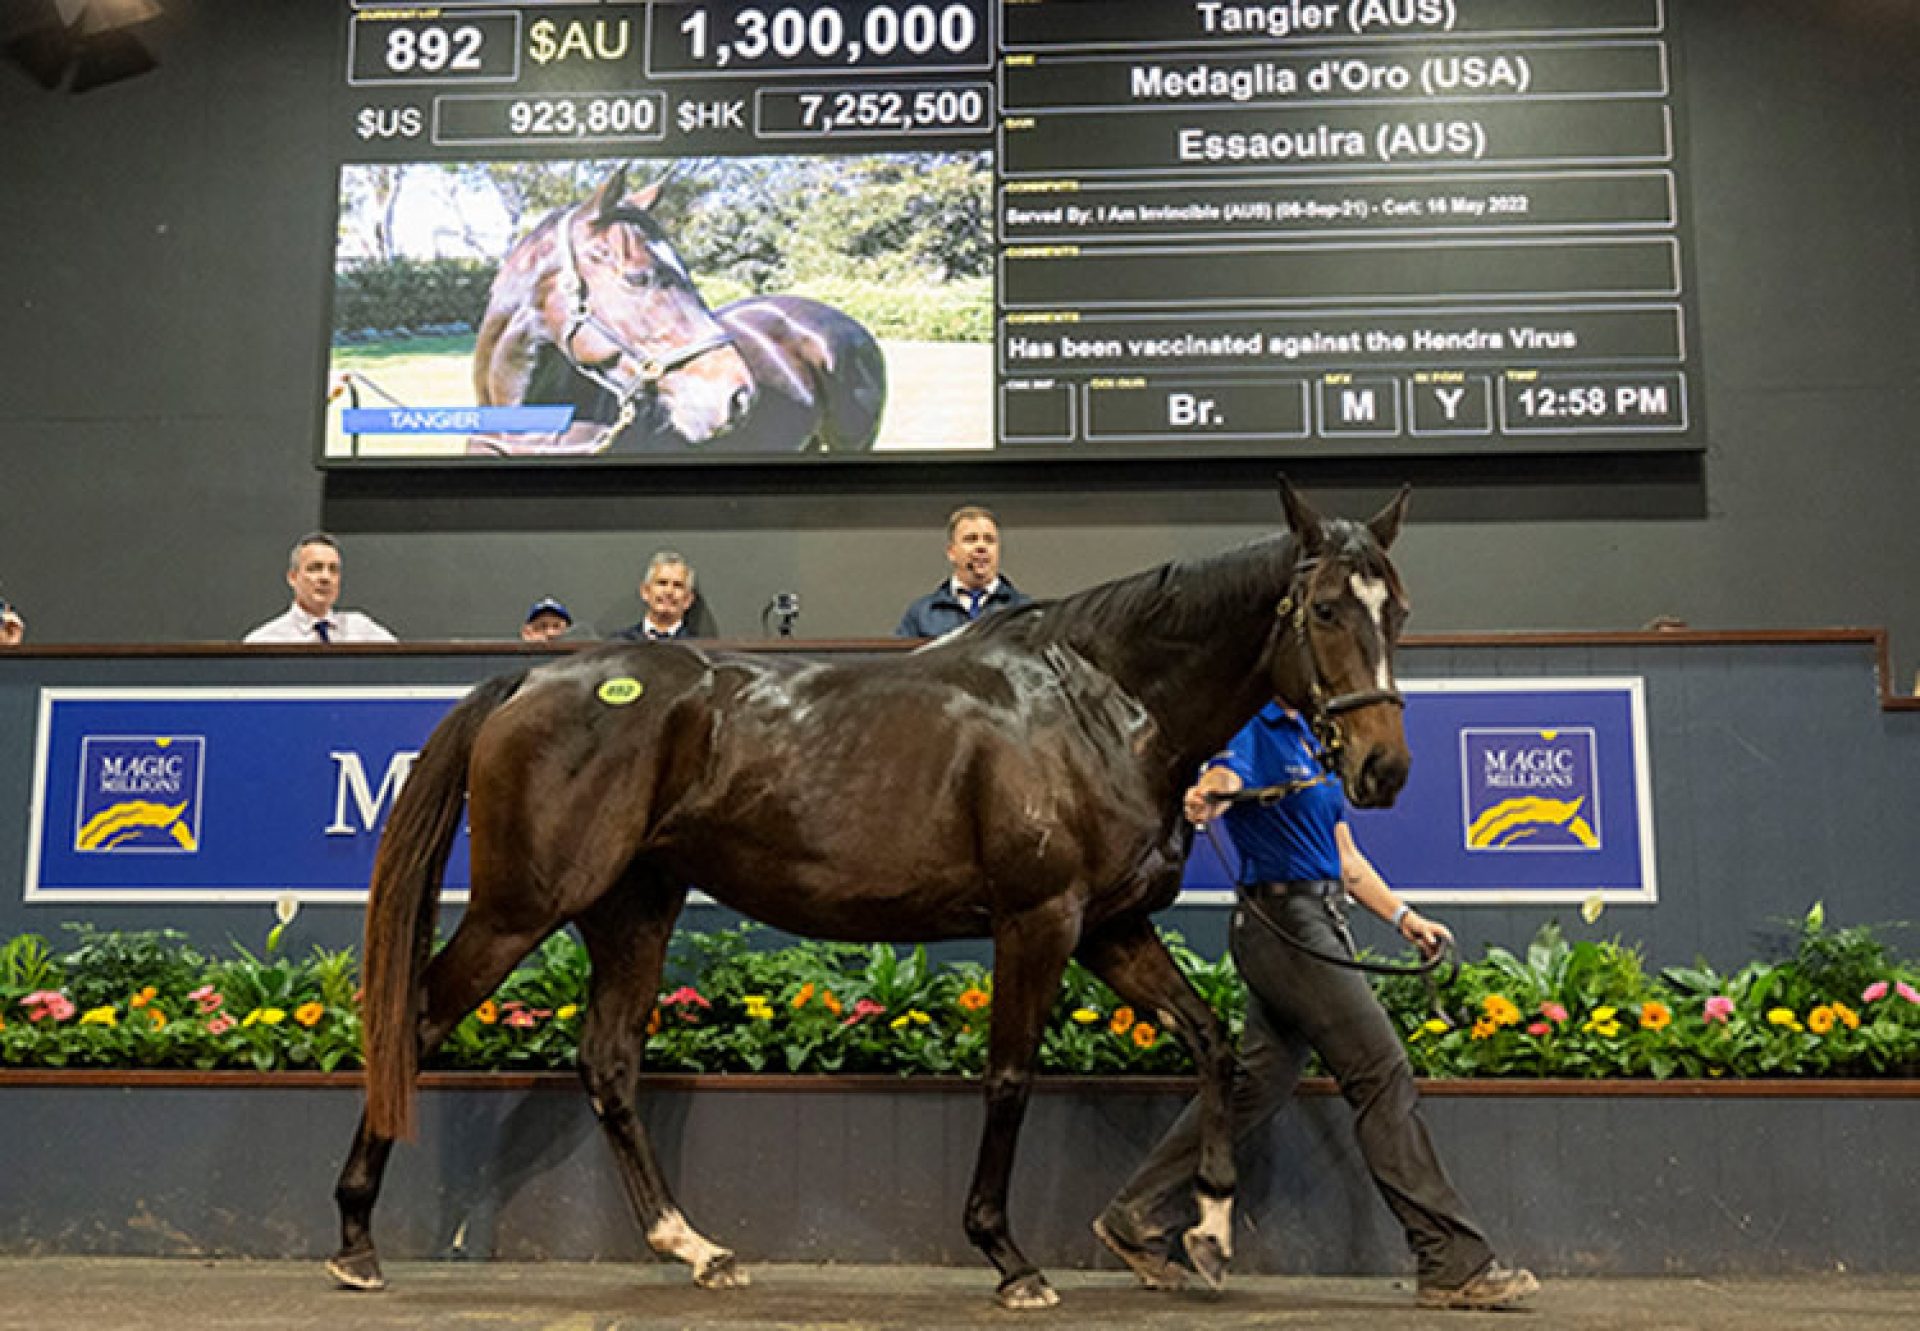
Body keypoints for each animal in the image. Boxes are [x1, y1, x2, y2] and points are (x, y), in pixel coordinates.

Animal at [326, 480, 1413, 1306]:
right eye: (1325, 609)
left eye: (1395, 610)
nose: (1384, 769)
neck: (1096, 703)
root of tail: (528, 682)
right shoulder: (1039, 920)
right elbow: (1010, 1076)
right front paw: (1008, 1257)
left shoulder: (1110, 925)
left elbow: (1214, 1044)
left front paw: (1205, 1230)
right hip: (523, 908)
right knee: (413, 1020)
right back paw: (355, 1240)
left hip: (633, 907)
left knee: (607, 1062)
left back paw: (695, 1246)